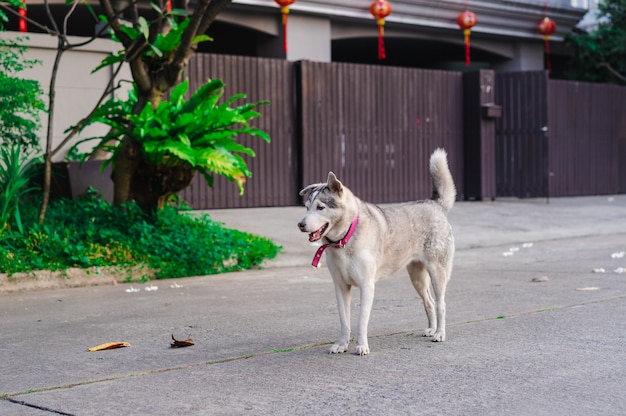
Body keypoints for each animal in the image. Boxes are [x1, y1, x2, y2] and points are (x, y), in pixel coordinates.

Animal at [296, 148, 454, 356]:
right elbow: (344, 321)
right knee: (428, 301)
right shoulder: (340, 286)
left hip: (437, 273)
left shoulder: (367, 286)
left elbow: (361, 321)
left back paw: (440, 333)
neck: (345, 239)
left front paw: (362, 345)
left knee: (440, 304)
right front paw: (342, 344)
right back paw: (431, 329)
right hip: (417, 277)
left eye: (320, 207)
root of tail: (435, 204)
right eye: (306, 208)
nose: (300, 224)